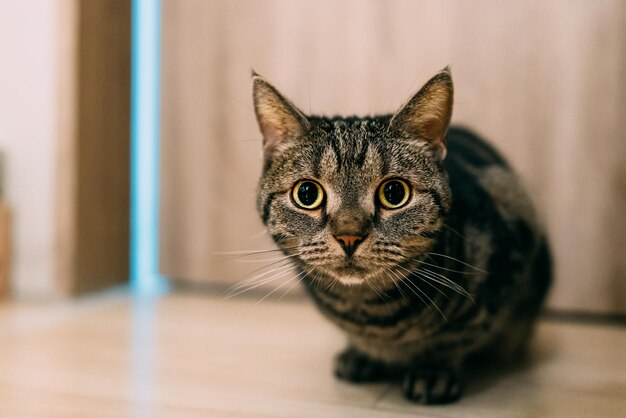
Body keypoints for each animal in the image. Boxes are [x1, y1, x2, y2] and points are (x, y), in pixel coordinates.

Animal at [251, 68, 548, 404]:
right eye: (307, 194)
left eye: (394, 193)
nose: (349, 236)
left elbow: (455, 339)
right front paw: (361, 354)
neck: (367, 312)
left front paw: (433, 370)